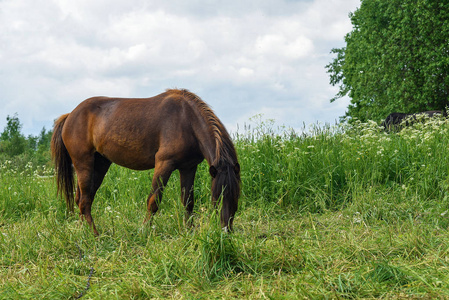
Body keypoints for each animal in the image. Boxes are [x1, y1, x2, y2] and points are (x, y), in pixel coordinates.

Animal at [50, 88, 240, 234]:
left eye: (236, 195)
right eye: (218, 196)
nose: (226, 231)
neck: (187, 120)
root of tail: (70, 115)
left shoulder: (189, 167)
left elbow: (188, 201)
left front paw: (189, 231)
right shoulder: (164, 163)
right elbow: (154, 200)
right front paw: (144, 231)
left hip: (100, 165)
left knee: (82, 199)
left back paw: (84, 232)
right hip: (84, 164)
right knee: (84, 201)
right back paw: (94, 235)